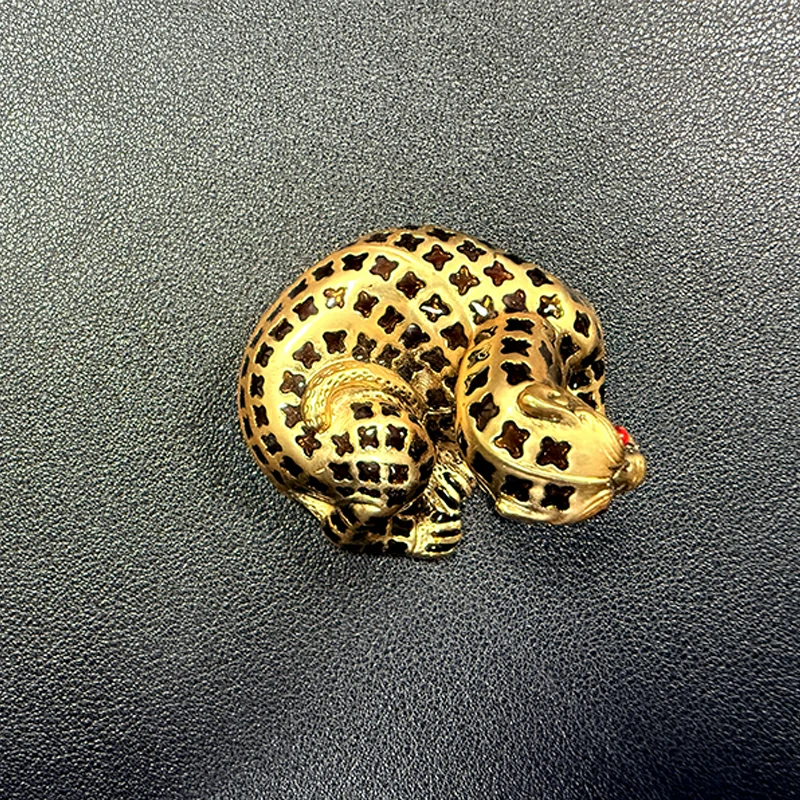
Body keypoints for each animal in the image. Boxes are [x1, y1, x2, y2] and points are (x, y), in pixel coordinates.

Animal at [238, 225, 646, 558]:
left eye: (621, 434)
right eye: (558, 499)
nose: (633, 471)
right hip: (394, 446)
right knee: (351, 523)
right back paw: (423, 533)